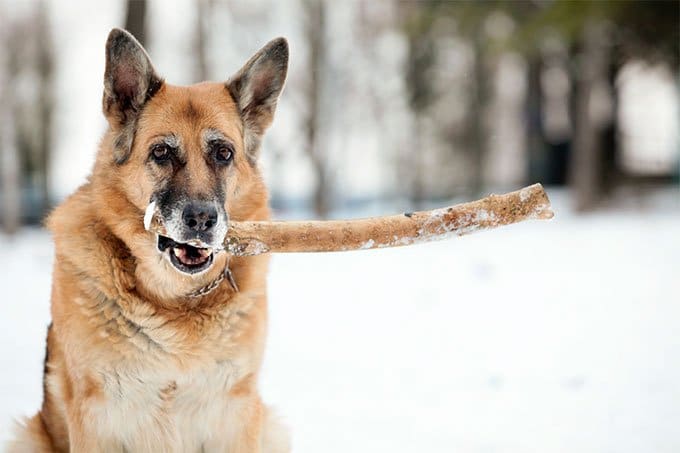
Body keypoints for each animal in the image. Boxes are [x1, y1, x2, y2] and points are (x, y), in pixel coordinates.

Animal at [9, 29, 290, 452]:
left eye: (223, 153)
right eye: (161, 152)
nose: (202, 220)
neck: (174, 300)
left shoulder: (237, 414)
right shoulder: (96, 418)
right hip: (27, 435)